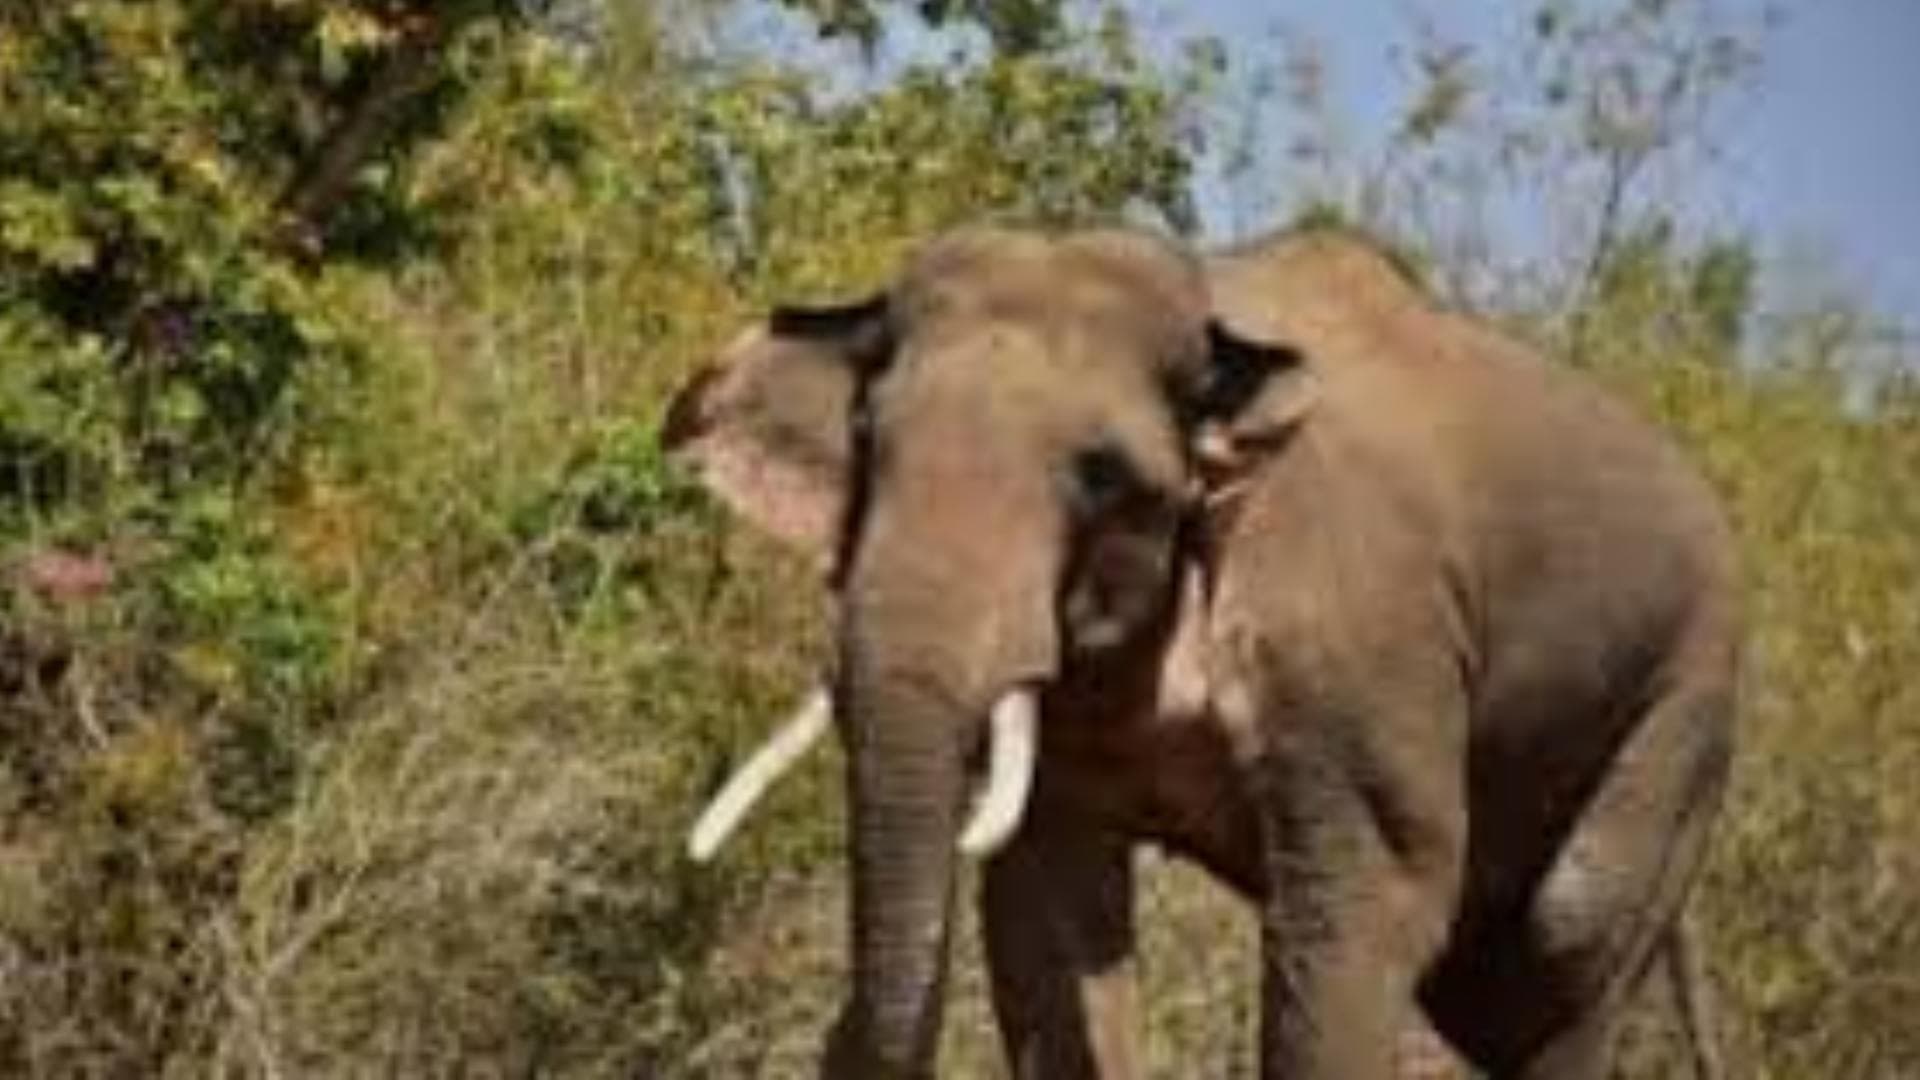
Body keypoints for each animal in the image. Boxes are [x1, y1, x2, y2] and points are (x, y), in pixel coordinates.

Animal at [664, 224, 1738, 1079]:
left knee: (1565, 941)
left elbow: (1365, 901)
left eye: (1101, 475)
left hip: (1687, 705)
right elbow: (1053, 907)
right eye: (866, 440)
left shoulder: (1359, 633)